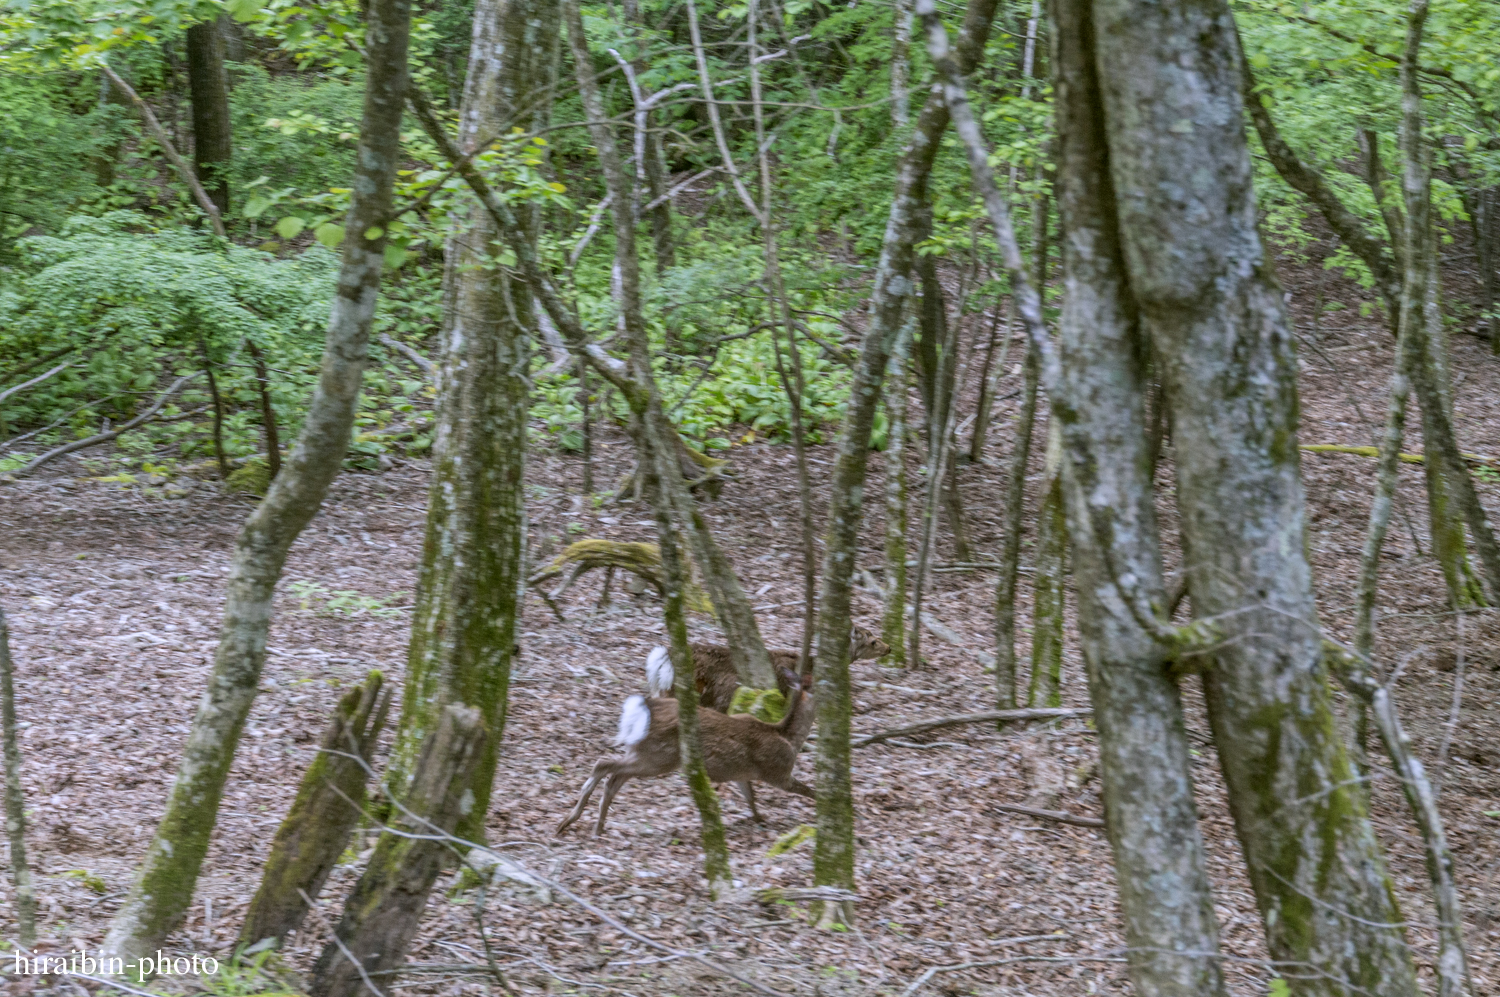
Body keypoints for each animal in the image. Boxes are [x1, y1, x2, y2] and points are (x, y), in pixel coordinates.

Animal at [558, 665, 816, 833]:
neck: (787, 737)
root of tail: (642, 709)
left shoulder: (740, 774)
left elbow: (750, 798)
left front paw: (760, 819)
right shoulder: (777, 772)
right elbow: (811, 791)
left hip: (642, 752)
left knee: (613, 778)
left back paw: (594, 826)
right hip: (659, 757)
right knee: (604, 765)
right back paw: (572, 821)